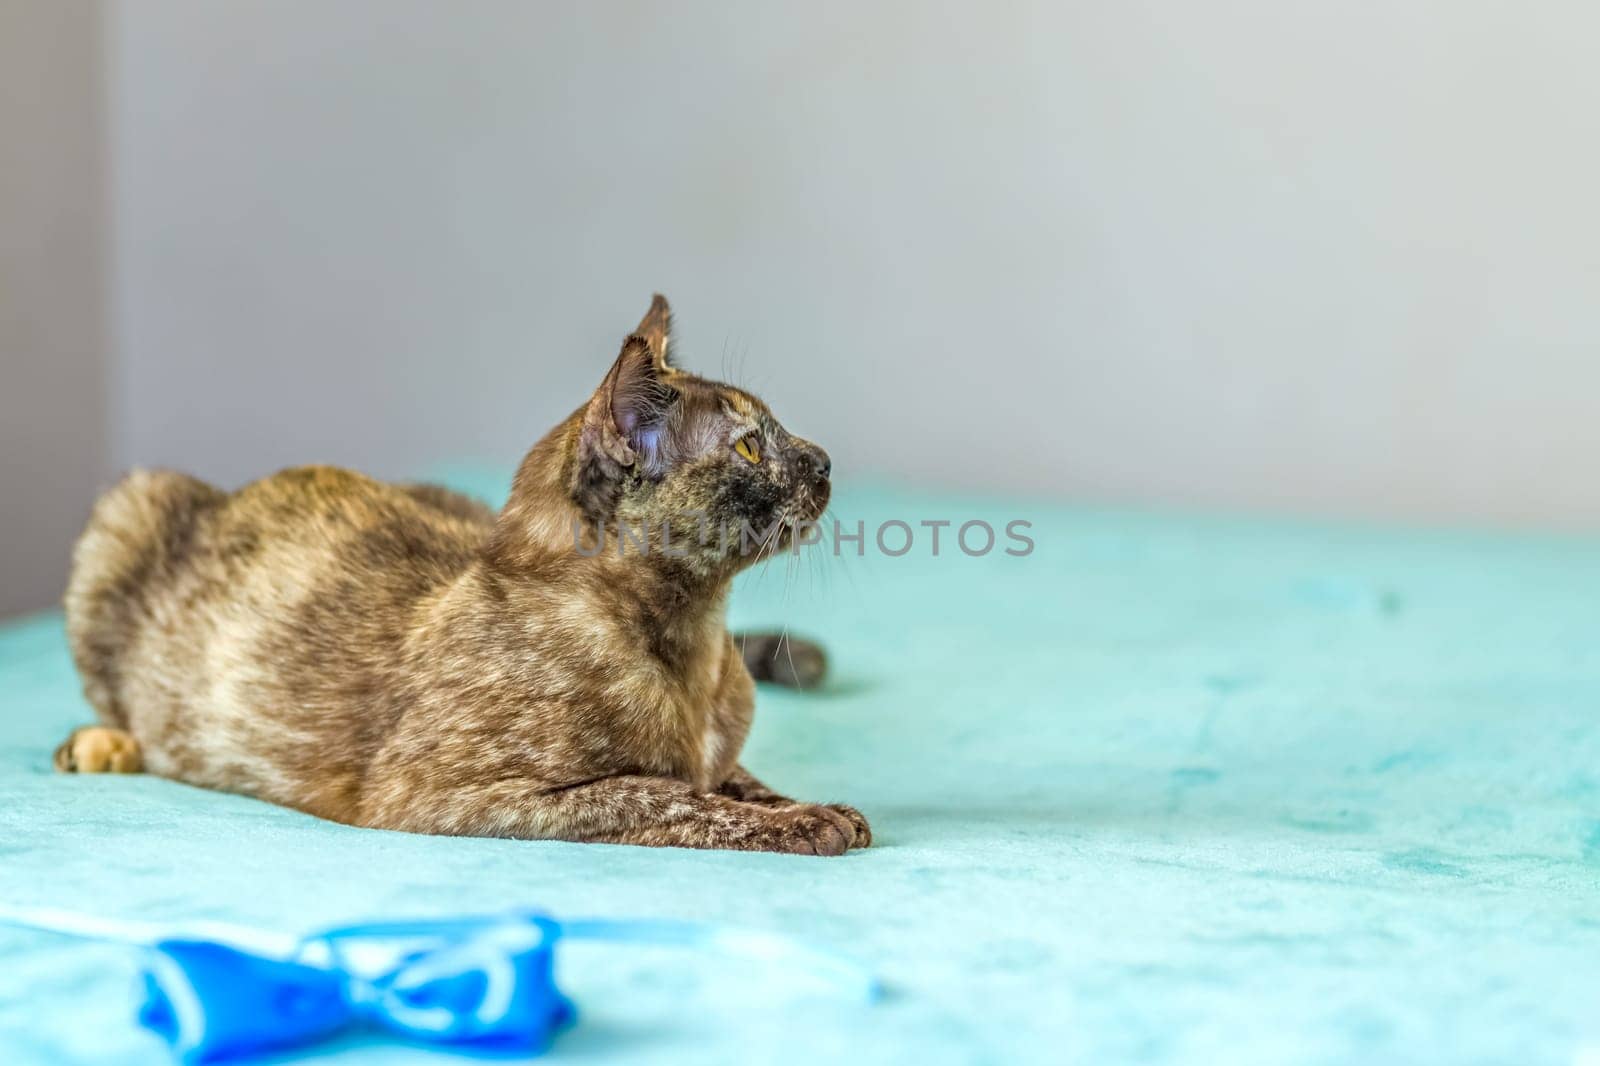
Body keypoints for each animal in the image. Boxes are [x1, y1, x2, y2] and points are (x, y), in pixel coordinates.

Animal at [56, 292, 870, 857]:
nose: (827, 460)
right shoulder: (454, 794)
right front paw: (805, 822)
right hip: (129, 506)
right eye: (750, 448)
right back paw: (103, 746)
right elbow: (661, 794)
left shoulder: (717, 754)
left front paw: (808, 805)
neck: (696, 641)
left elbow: (737, 780)